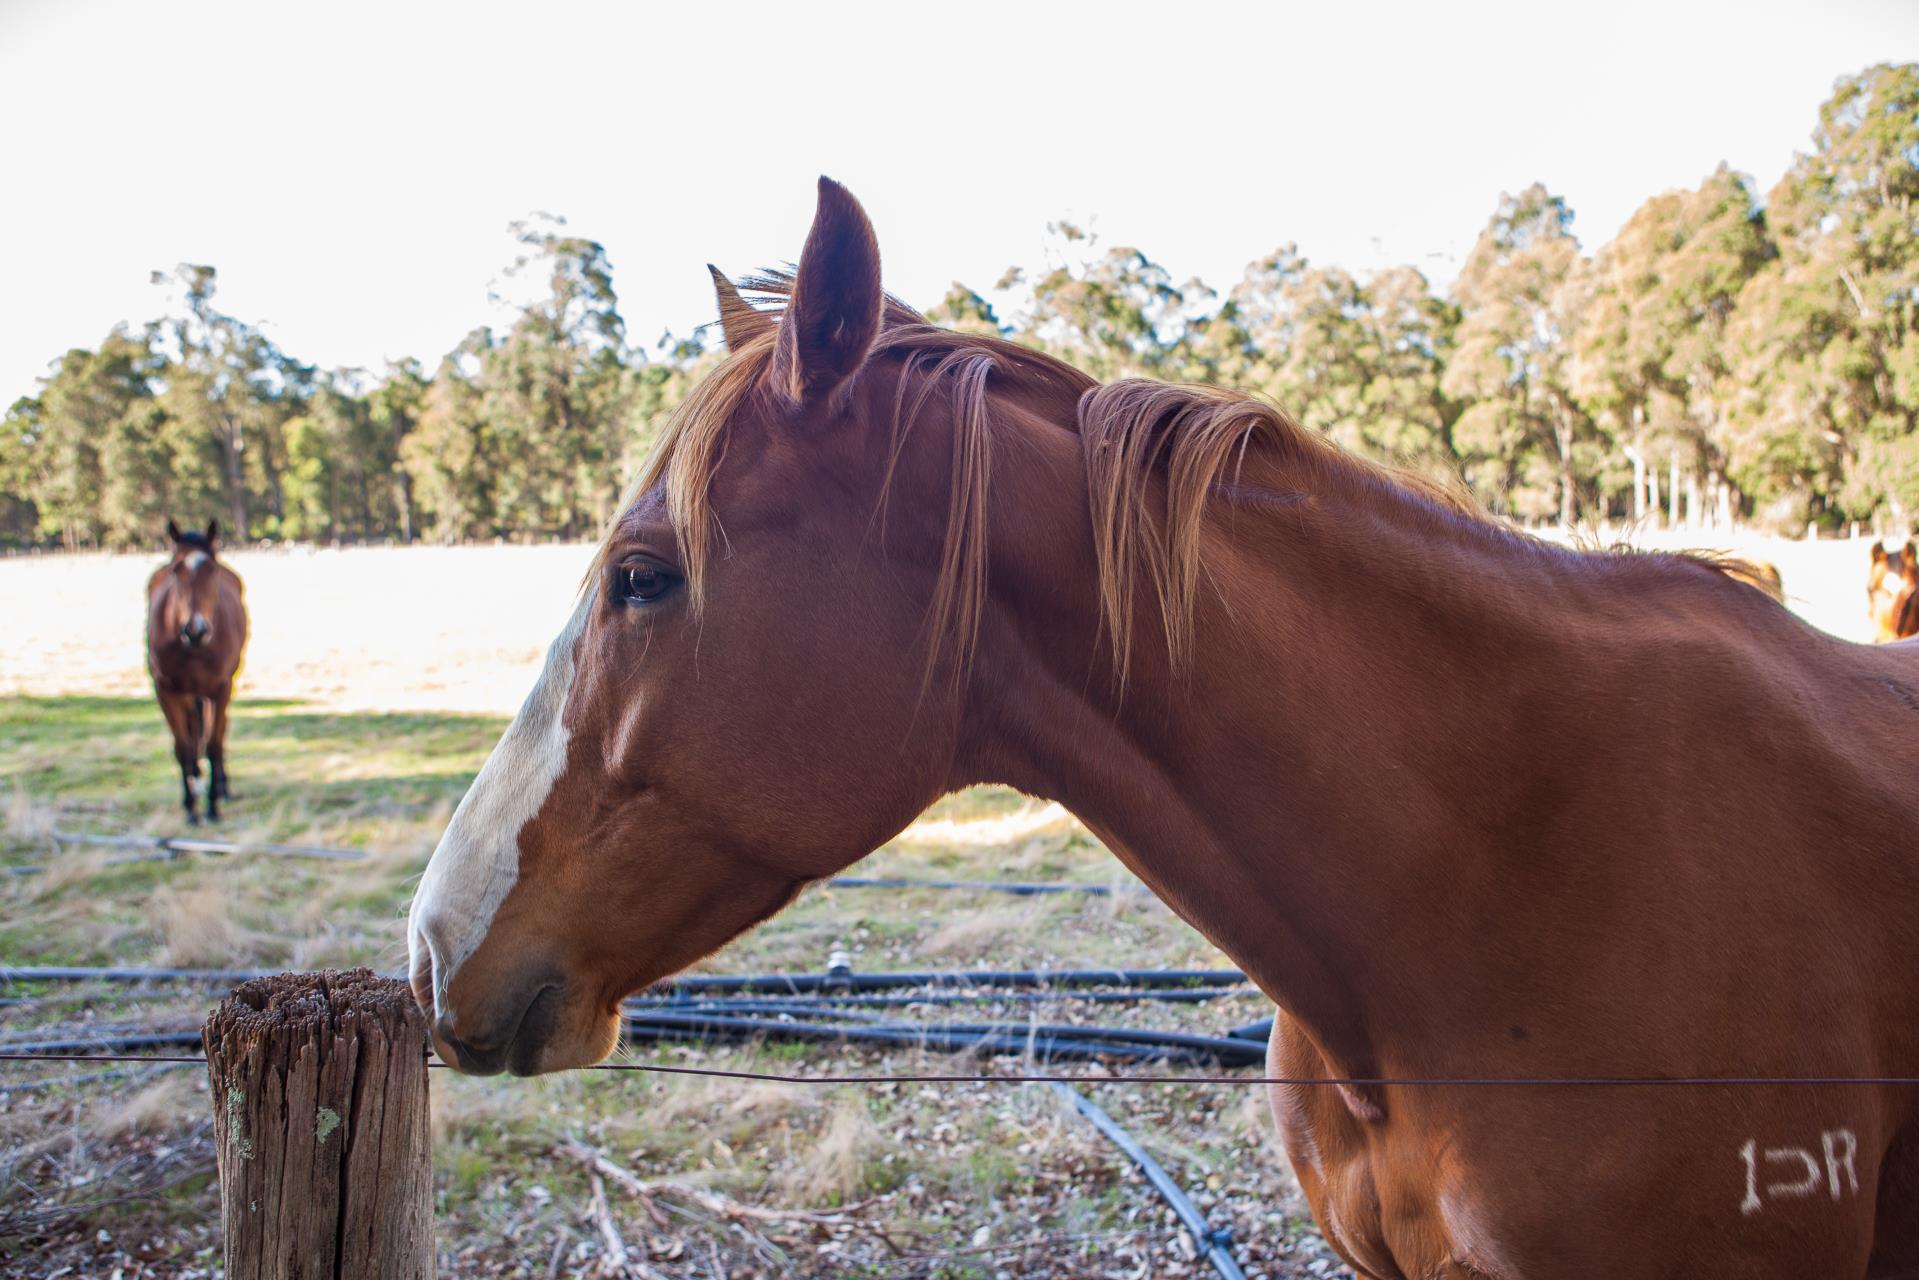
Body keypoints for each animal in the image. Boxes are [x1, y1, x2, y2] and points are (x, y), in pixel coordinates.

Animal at [146, 519, 248, 824]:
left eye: (210, 569)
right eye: (175, 569)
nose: (196, 629)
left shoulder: (220, 689)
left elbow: (213, 745)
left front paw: (213, 805)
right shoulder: (166, 691)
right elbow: (183, 748)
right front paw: (191, 806)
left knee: (216, 733)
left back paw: (221, 787)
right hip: (190, 695)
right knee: (193, 736)